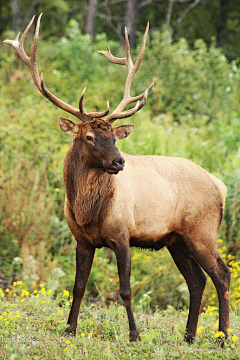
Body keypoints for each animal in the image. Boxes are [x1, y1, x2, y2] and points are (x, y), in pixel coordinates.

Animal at [4, 14, 232, 344]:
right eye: (89, 136)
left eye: (113, 136)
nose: (119, 161)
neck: (88, 213)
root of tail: (220, 185)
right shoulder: (82, 240)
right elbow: (78, 286)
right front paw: (69, 330)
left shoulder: (124, 233)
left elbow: (124, 289)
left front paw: (134, 335)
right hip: (176, 238)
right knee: (197, 280)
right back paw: (189, 336)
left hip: (202, 229)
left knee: (222, 275)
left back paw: (223, 337)